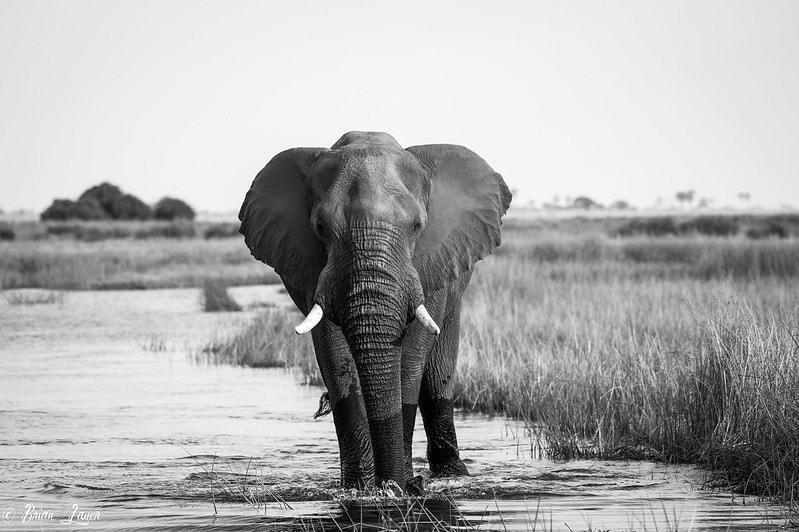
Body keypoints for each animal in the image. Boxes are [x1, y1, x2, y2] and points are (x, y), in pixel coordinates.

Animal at [238, 131, 511, 493]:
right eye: (320, 227)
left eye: (417, 226)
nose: (406, 485)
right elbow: (336, 358)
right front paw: (361, 490)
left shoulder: (431, 260)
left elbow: (410, 361)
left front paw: (398, 488)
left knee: (437, 379)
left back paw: (452, 475)